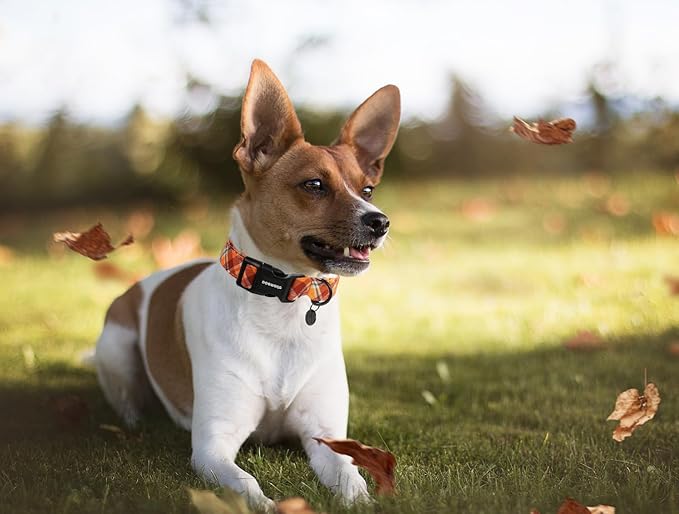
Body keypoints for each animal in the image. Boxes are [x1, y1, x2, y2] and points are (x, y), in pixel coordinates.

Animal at [96, 58, 404, 506]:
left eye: (367, 189)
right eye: (314, 184)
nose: (379, 221)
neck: (285, 302)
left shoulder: (327, 438)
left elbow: (352, 480)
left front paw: (359, 497)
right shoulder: (213, 446)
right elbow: (247, 487)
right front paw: (269, 504)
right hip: (116, 347)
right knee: (126, 399)